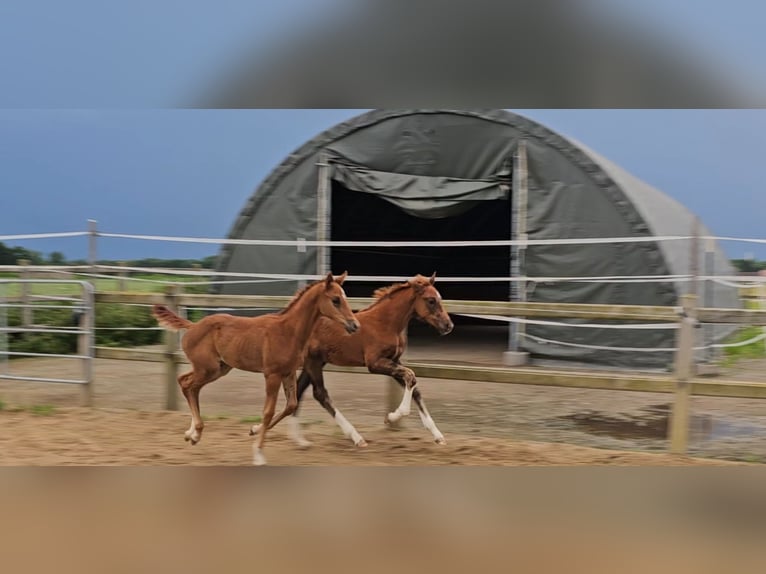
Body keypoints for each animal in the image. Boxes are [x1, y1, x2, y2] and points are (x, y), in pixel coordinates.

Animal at [156, 272, 364, 466]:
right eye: (335, 300)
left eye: (344, 297)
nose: (355, 325)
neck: (288, 331)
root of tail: (192, 326)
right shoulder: (272, 375)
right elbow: (268, 411)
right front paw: (258, 455)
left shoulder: (288, 372)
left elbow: (291, 405)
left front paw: (254, 429)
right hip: (208, 368)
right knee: (188, 385)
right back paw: (196, 433)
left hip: (218, 368)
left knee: (187, 383)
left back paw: (190, 434)